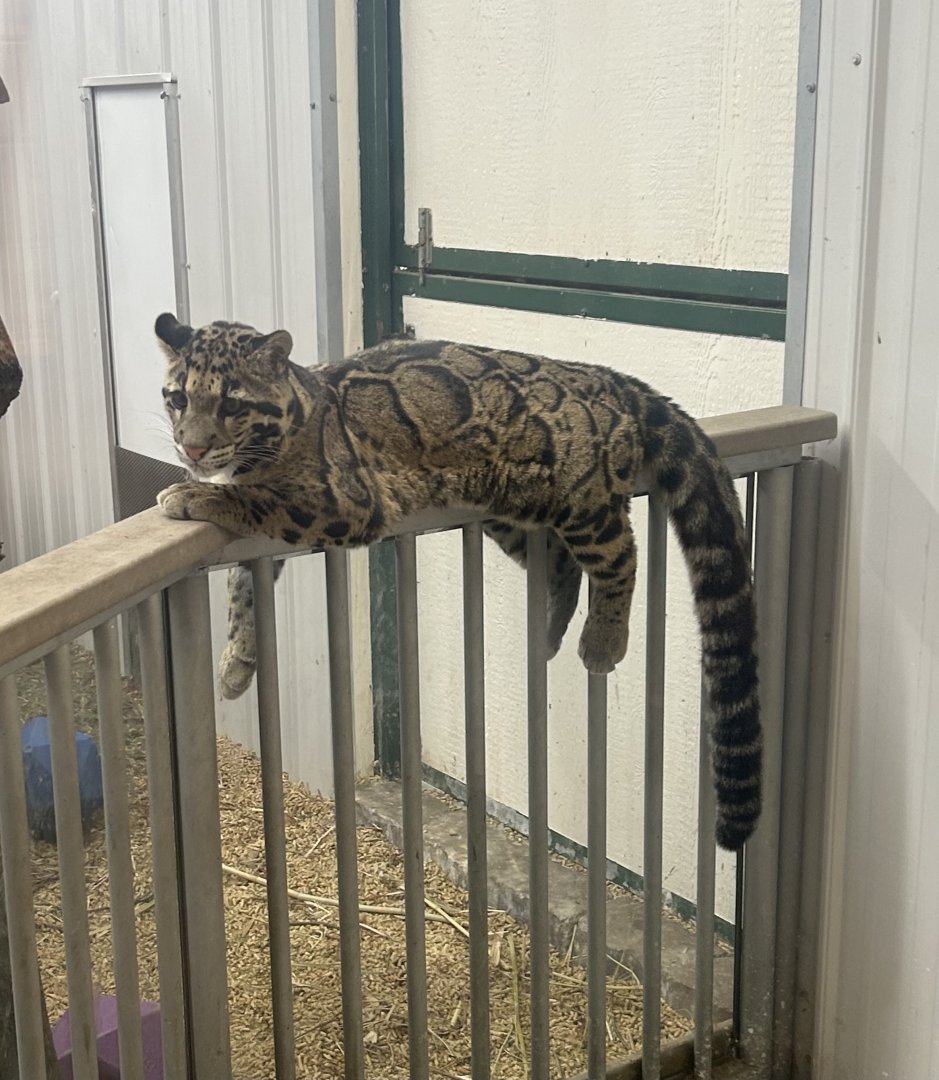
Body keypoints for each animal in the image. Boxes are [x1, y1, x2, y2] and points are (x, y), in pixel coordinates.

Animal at [155, 312, 761, 850]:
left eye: (232, 404)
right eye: (178, 398)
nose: (192, 447)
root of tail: (607, 375)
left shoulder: (342, 502)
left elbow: (252, 504)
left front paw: (195, 495)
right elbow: (242, 584)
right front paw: (238, 659)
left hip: (579, 494)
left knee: (620, 554)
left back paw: (602, 640)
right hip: (511, 507)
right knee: (562, 565)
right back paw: (548, 628)